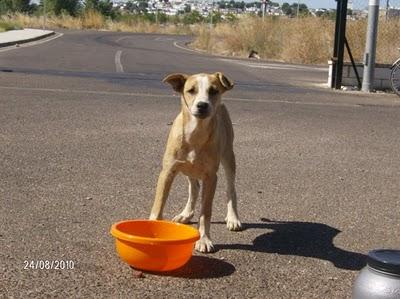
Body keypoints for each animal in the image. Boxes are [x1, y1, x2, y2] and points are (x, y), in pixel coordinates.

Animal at [149, 72, 241, 253]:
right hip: (187, 168)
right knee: (194, 188)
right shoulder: (167, 171)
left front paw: (204, 239)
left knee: (230, 189)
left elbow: (205, 212)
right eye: (191, 90)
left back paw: (233, 218)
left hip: (228, 156)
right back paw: (186, 213)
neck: (196, 132)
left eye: (213, 91)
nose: (202, 105)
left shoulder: (211, 177)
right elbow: (158, 204)